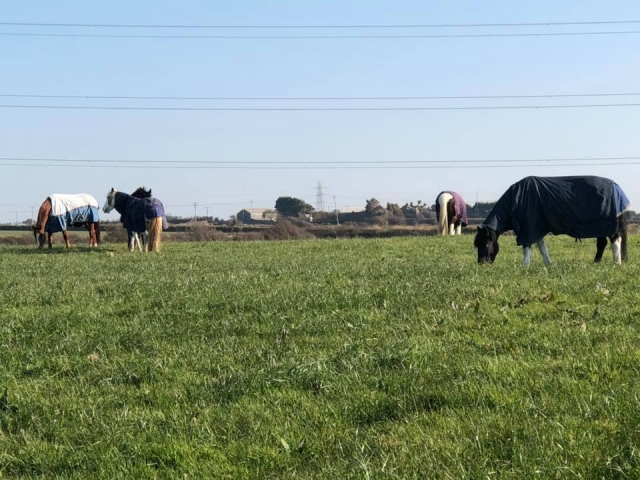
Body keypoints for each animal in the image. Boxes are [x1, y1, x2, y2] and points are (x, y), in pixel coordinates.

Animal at [474, 176, 630, 266]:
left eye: (486, 244)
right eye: (477, 244)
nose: (482, 263)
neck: (517, 200)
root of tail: (616, 187)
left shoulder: (528, 228)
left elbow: (527, 247)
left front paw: (525, 266)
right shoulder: (535, 228)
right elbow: (542, 247)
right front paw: (548, 264)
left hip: (609, 226)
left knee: (616, 240)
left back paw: (617, 262)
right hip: (599, 226)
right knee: (602, 243)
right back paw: (596, 262)